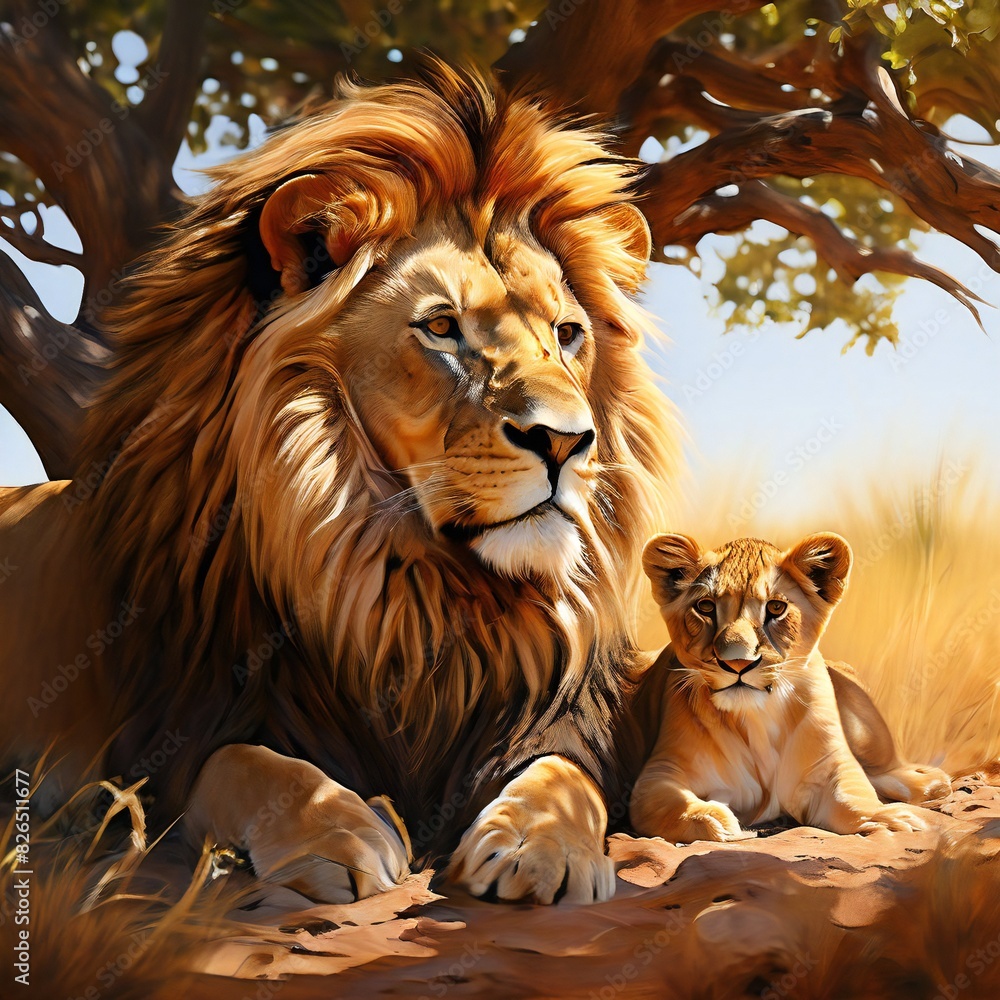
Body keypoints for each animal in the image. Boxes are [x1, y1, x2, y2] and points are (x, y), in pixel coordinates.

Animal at [0, 64, 912, 906]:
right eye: (442, 327)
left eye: (567, 333)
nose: (567, 439)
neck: (418, 595)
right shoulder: (167, 732)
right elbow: (249, 764)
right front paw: (340, 835)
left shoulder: (550, 717)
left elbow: (565, 779)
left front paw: (539, 848)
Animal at [629, 532, 952, 843]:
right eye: (705, 607)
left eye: (776, 607)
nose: (737, 663)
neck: (755, 718)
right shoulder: (658, 774)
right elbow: (671, 804)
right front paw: (714, 819)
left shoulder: (831, 767)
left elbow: (853, 796)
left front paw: (889, 819)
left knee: (888, 767)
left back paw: (929, 783)